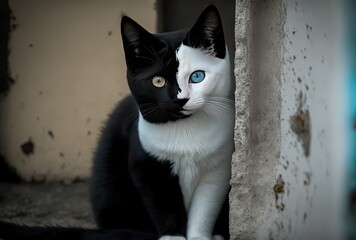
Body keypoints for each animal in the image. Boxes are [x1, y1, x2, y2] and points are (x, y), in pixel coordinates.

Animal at [0, 4, 234, 240]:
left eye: (197, 77)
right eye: (158, 81)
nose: (180, 99)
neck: (185, 132)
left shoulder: (218, 170)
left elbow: (205, 210)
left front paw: (200, 237)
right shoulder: (146, 167)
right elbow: (164, 208)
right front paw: (174, 237)